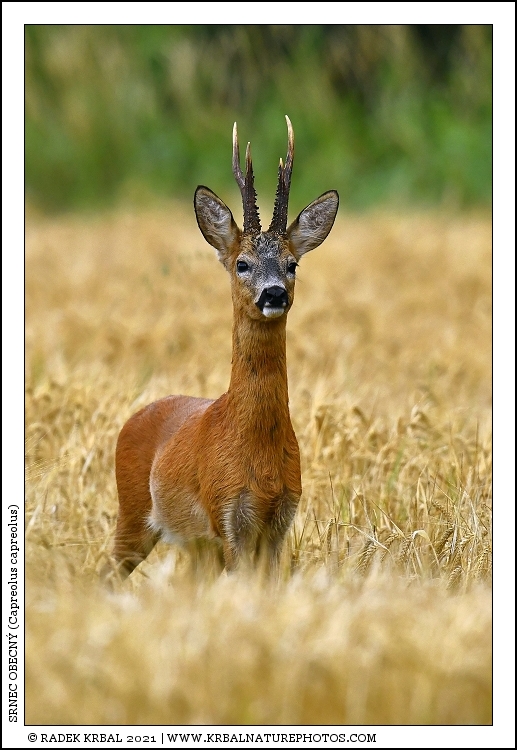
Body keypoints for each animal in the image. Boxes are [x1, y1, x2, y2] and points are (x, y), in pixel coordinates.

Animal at [108, 116, 339, 580]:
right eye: (242, 263)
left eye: (292, 264)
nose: (274, 293)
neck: (259, 454)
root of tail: (134, 416)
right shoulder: (228, 515)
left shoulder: (280, 518)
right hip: (133, 513)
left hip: (196, 546)